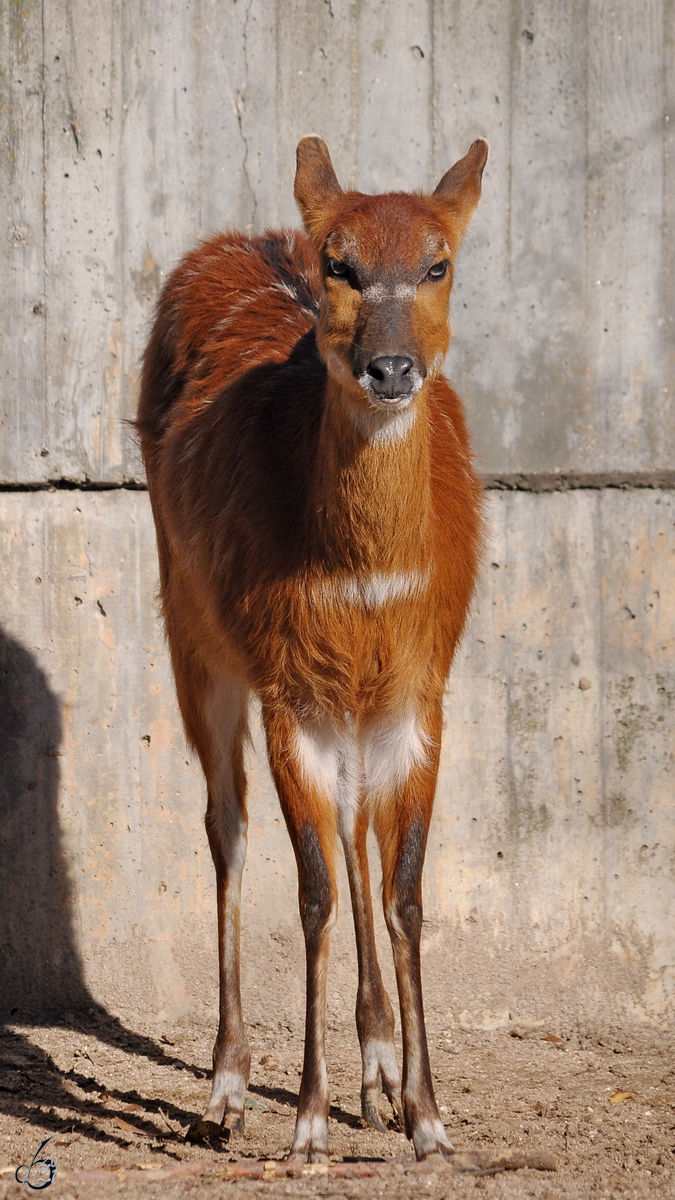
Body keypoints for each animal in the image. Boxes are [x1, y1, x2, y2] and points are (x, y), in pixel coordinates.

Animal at [136, 133, 482, 1161]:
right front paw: (307, 1125)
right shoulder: (290, 691)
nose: (391, 367)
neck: (362, 571)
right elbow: (314, 889)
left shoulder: (416, 694)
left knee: (356, 827)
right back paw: (224, 1089)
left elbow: (402, 890)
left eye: (437, 263)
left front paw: (426, 1120)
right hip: (194, 638)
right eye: (342, 265)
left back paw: (375, 1075)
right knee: (229, 826)